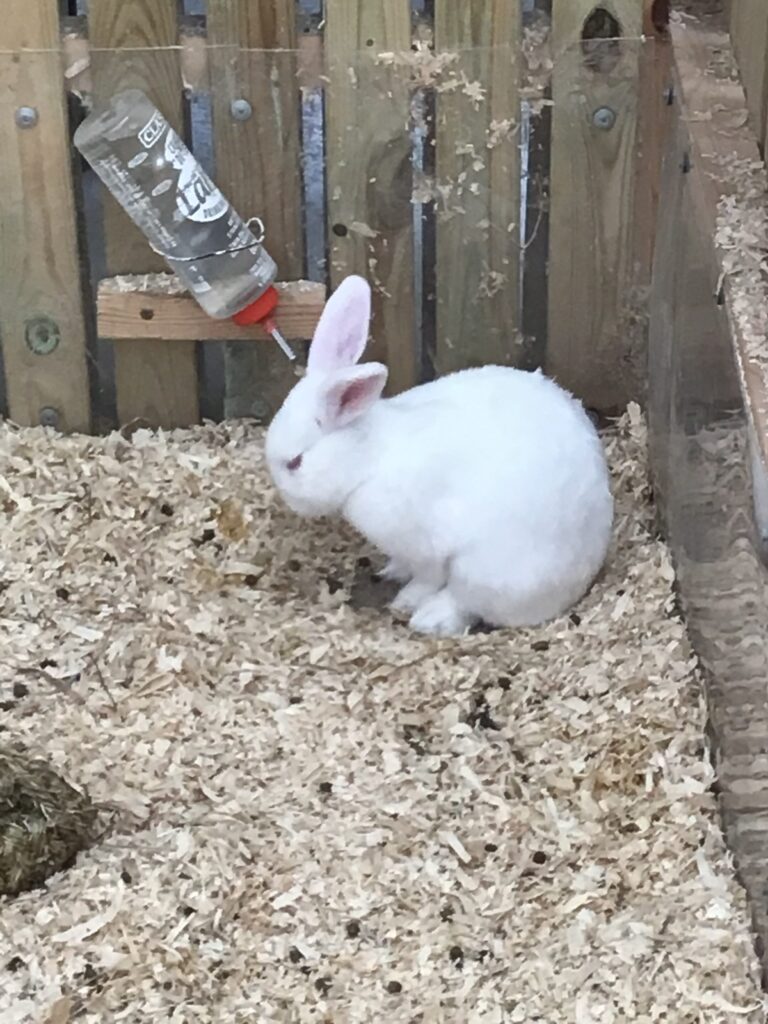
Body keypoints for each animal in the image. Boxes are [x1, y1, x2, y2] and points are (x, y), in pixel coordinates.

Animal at [265, 275, 614, 637]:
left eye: (295, 463)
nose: (289, 502)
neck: (369, 459)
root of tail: (585, 573)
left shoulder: (426, 548)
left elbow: (427, 577)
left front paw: (405, 600)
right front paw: (393, 571)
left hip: (485, 572)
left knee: (465, 603)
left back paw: (429, 617)